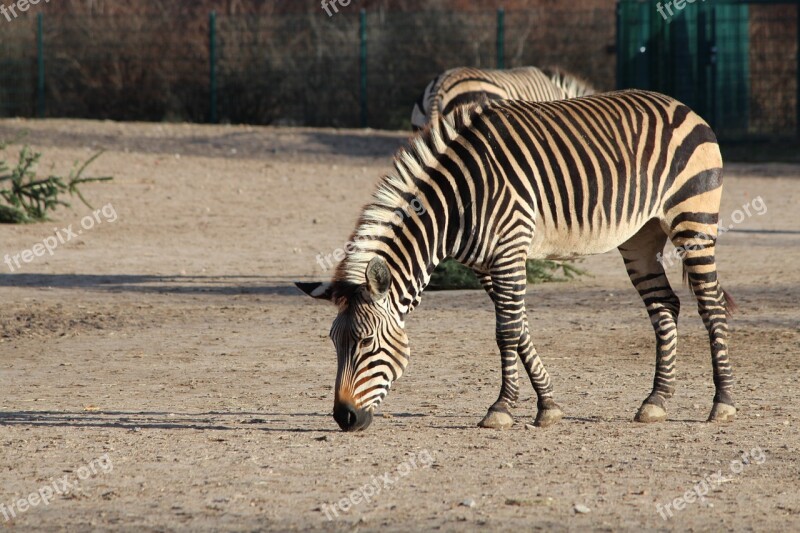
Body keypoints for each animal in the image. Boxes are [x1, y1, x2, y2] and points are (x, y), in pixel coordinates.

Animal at [296, 90, 736, 432]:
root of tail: (681, 105)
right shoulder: (486, 265)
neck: (456, 205)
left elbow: (506, 332)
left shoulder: (509, 250)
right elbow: (519, 328)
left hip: (693, 220)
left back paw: (723, 403)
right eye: (334, 343)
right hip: (639, 236)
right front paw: (548, 405)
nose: (344, 418)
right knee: (665, 305)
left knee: (710, 305)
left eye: (366, 343)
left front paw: (501, 409)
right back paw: (656, 401)